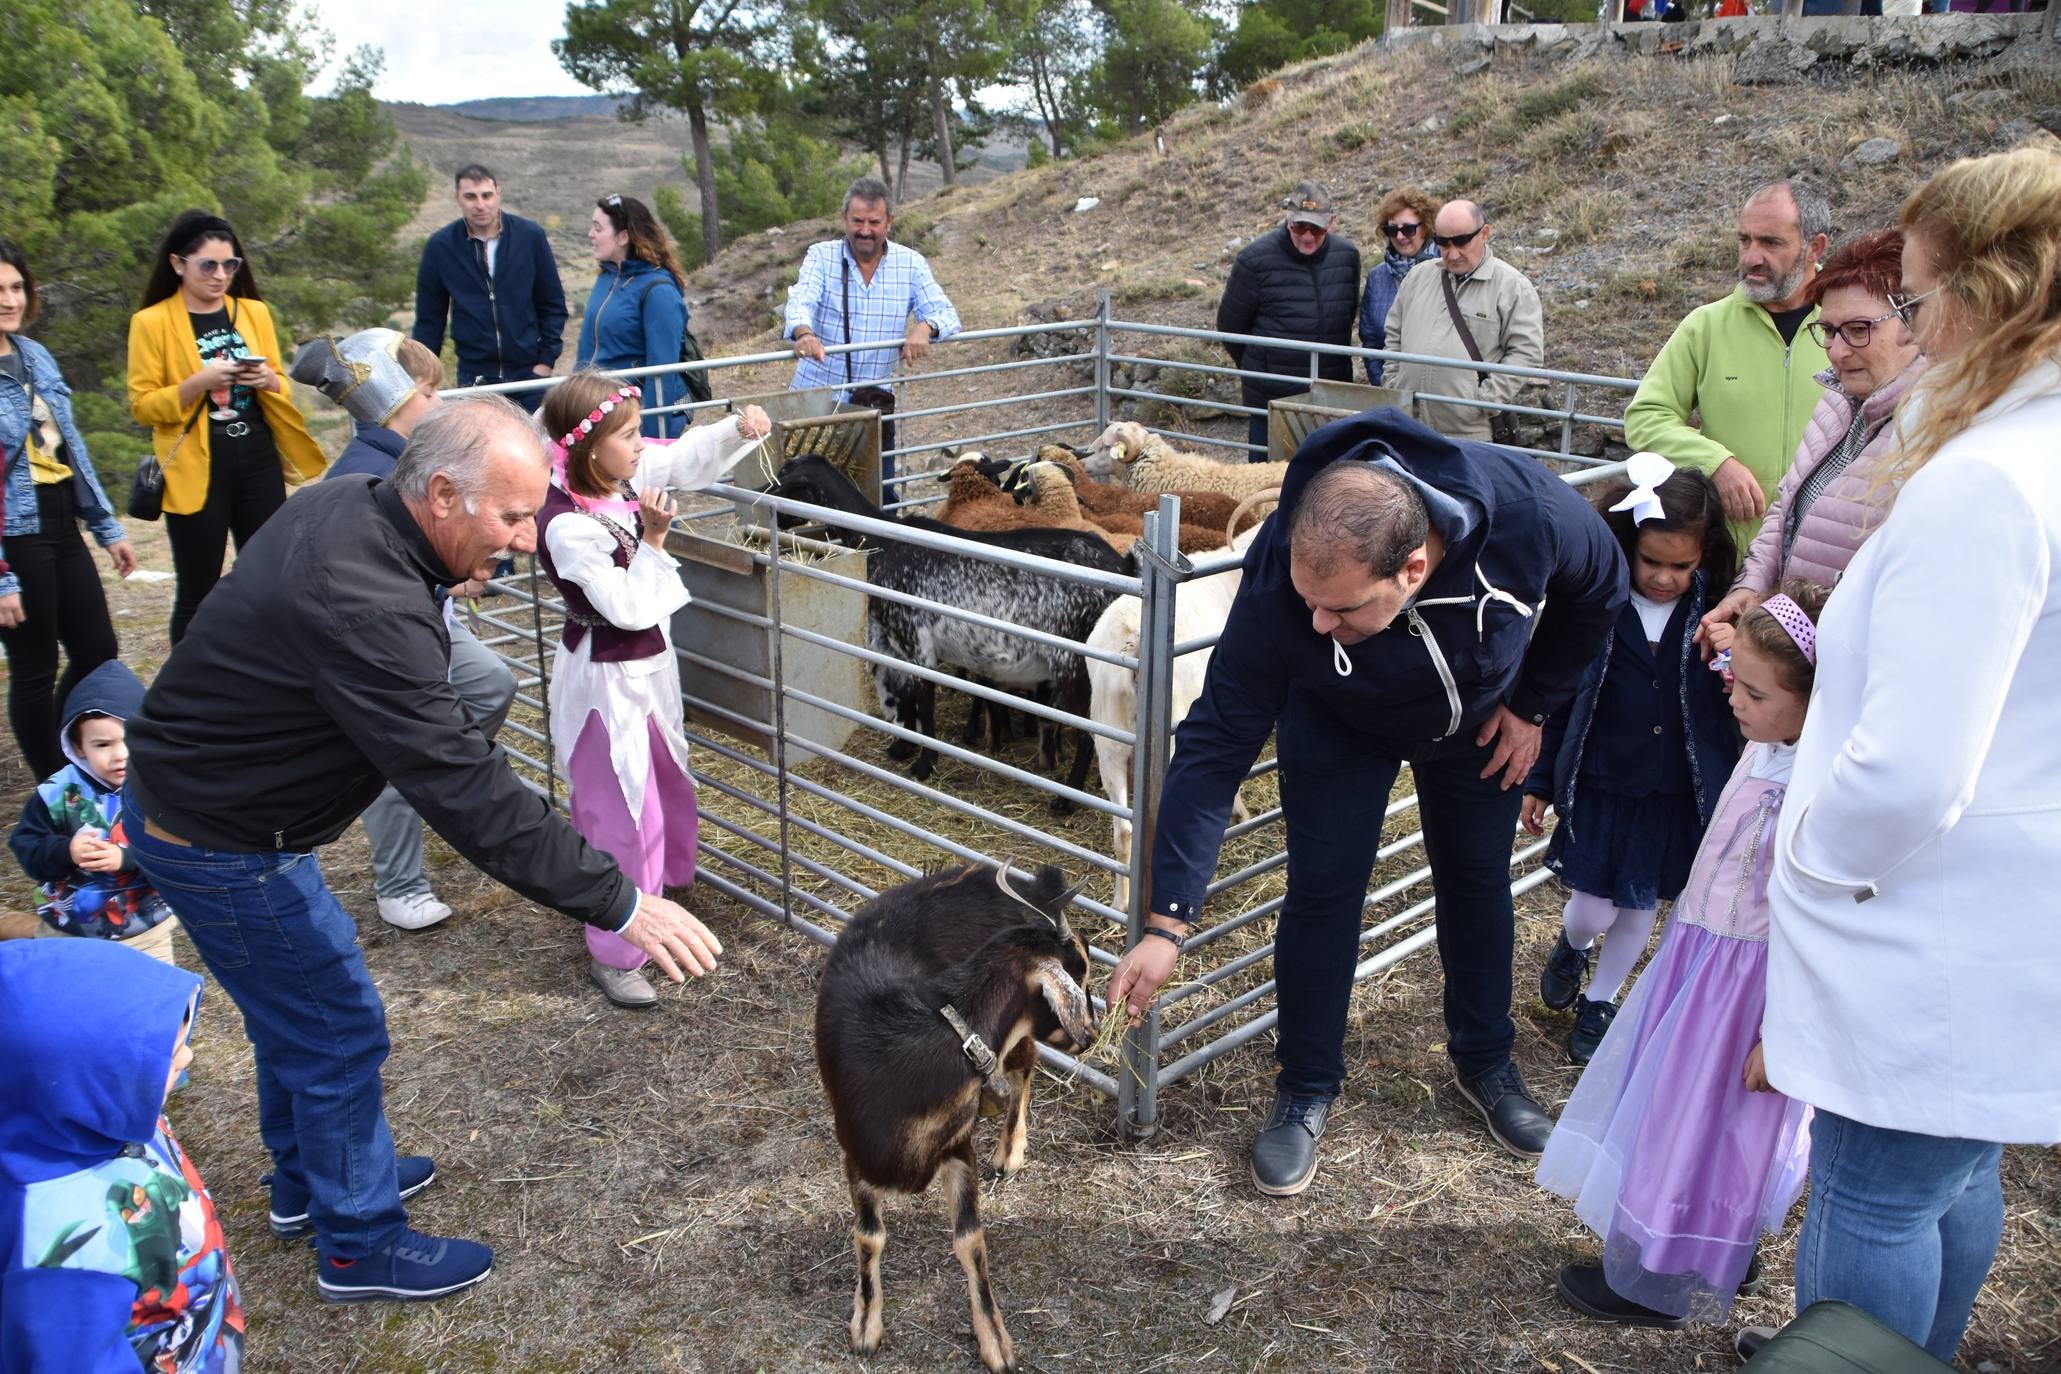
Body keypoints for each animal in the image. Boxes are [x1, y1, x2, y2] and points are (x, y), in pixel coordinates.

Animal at [812, 865, 1096, 1367]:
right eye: (1080, 969)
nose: (1095, 1030)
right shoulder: (856, 1157)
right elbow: (869, 1236)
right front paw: (866, 1324)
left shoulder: (959, 1149)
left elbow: (969, 1241)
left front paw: (995, 1339)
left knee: (1024, 1065)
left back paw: (1010, 1149)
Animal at [1096, 500, 1269, 918]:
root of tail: (1135, 640)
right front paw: (1239, 813)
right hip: (1175, 731)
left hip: (1108, 739)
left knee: (1124, 829)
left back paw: (1121, 904)